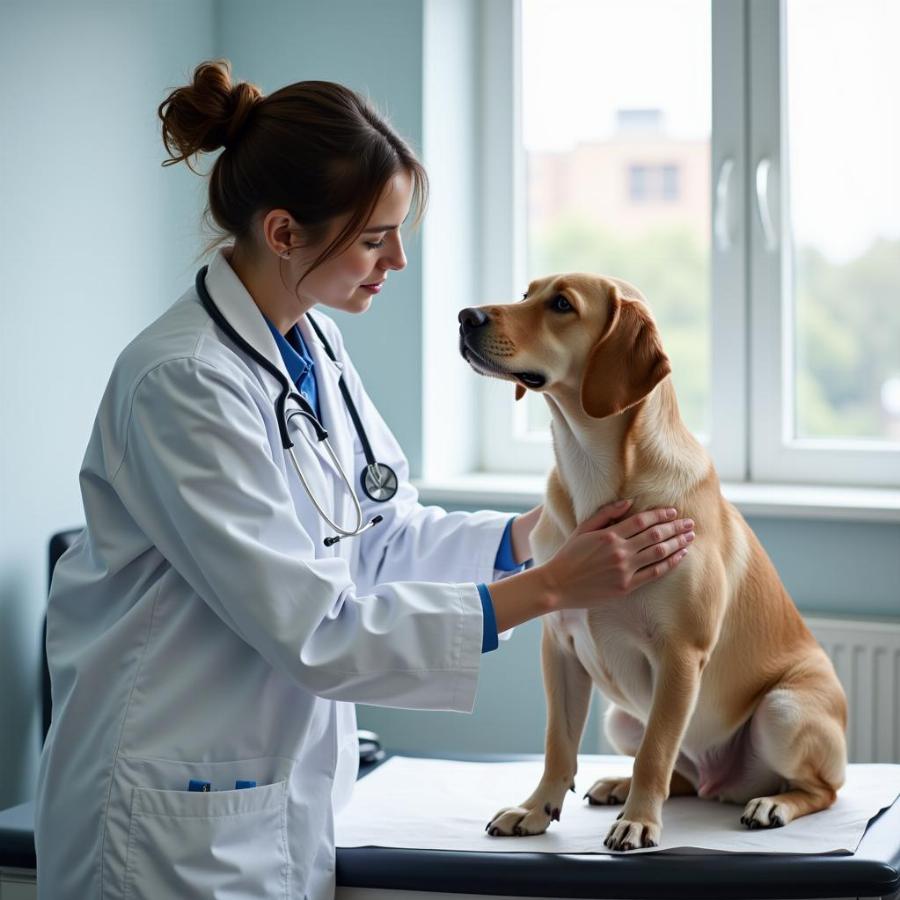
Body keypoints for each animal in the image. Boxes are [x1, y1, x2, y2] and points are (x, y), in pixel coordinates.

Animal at [460, 274, 848, 852]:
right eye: (526, 293)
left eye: (561, 304)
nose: (466, 317)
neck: (593, 472)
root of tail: (724, 784)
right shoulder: (560, 649)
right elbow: (558, 745)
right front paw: (535, 809)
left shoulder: (680, 654)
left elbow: (656, 752)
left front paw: (641, 821)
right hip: (620, 718)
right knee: (682, 776)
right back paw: (618, 786)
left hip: (782, 710)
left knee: (820, 789)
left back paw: (771, 804)